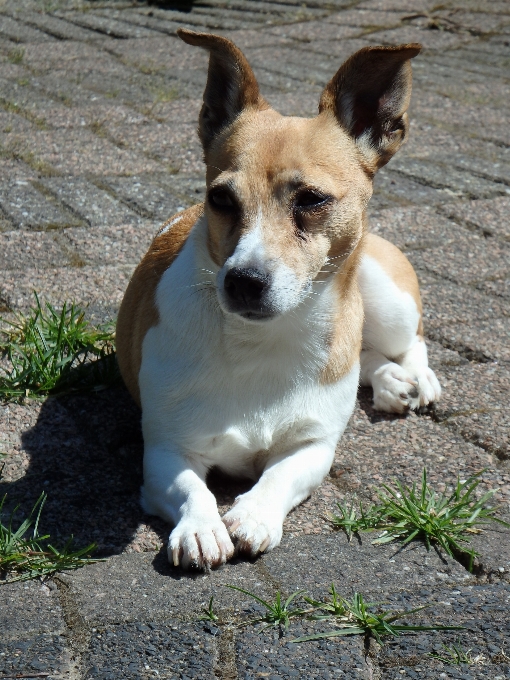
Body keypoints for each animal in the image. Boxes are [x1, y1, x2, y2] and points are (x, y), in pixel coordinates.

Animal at [114, 27, 438, 568]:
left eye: (312, 199)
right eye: (219, 198)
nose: (243, 280)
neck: (261, 341)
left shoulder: (313, 449)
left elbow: (279, 476)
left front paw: (253, 513)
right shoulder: (164, 451)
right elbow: (191, 487)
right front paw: (201, 527)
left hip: (386, 298)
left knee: (409, 341)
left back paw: (417, 378)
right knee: (368, 356)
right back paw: (390, 381)